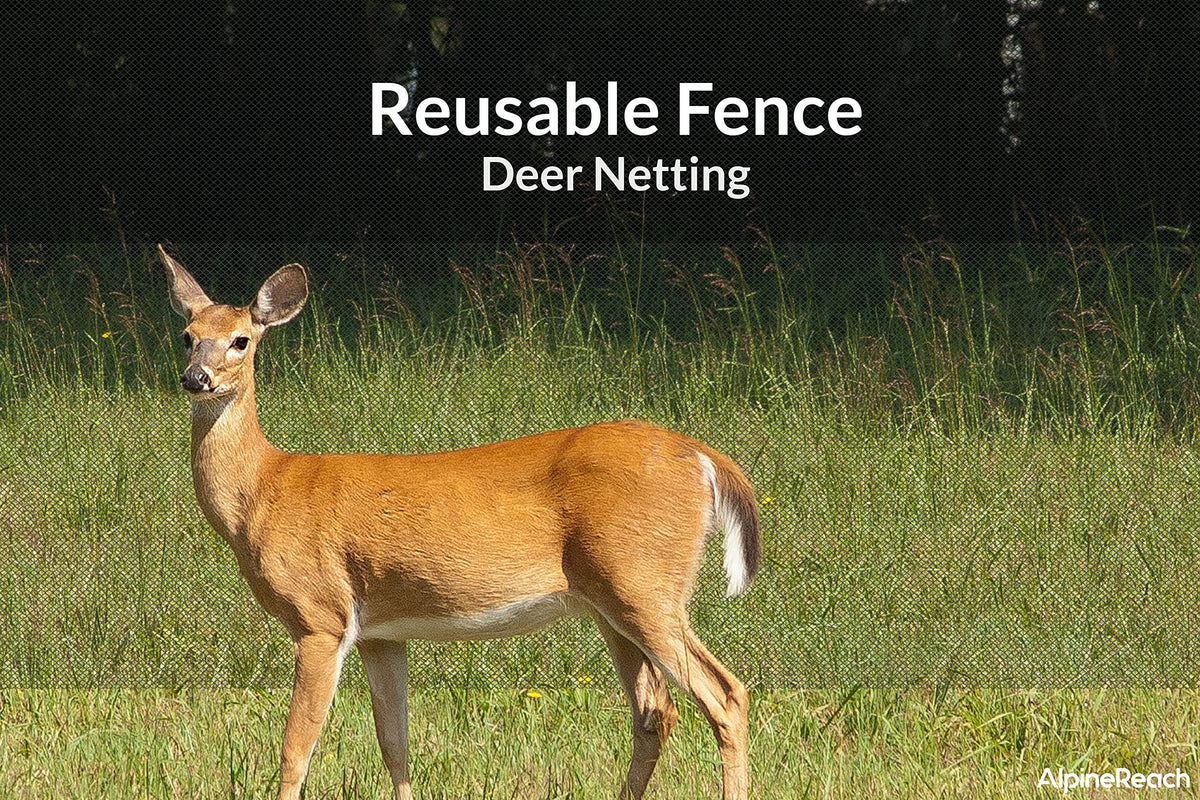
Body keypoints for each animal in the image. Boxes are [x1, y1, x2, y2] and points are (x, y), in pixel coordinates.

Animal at [159, 245, 762, 800]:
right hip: (612, 601)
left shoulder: (320, 616)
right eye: (187, 335)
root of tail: (705, 457)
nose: (195, 377)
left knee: (725, 695)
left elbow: (295, 749)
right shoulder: (381, 631)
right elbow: (394, 744)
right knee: (655, 711)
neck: (264, 492)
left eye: (241, 339)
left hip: (644, 581)